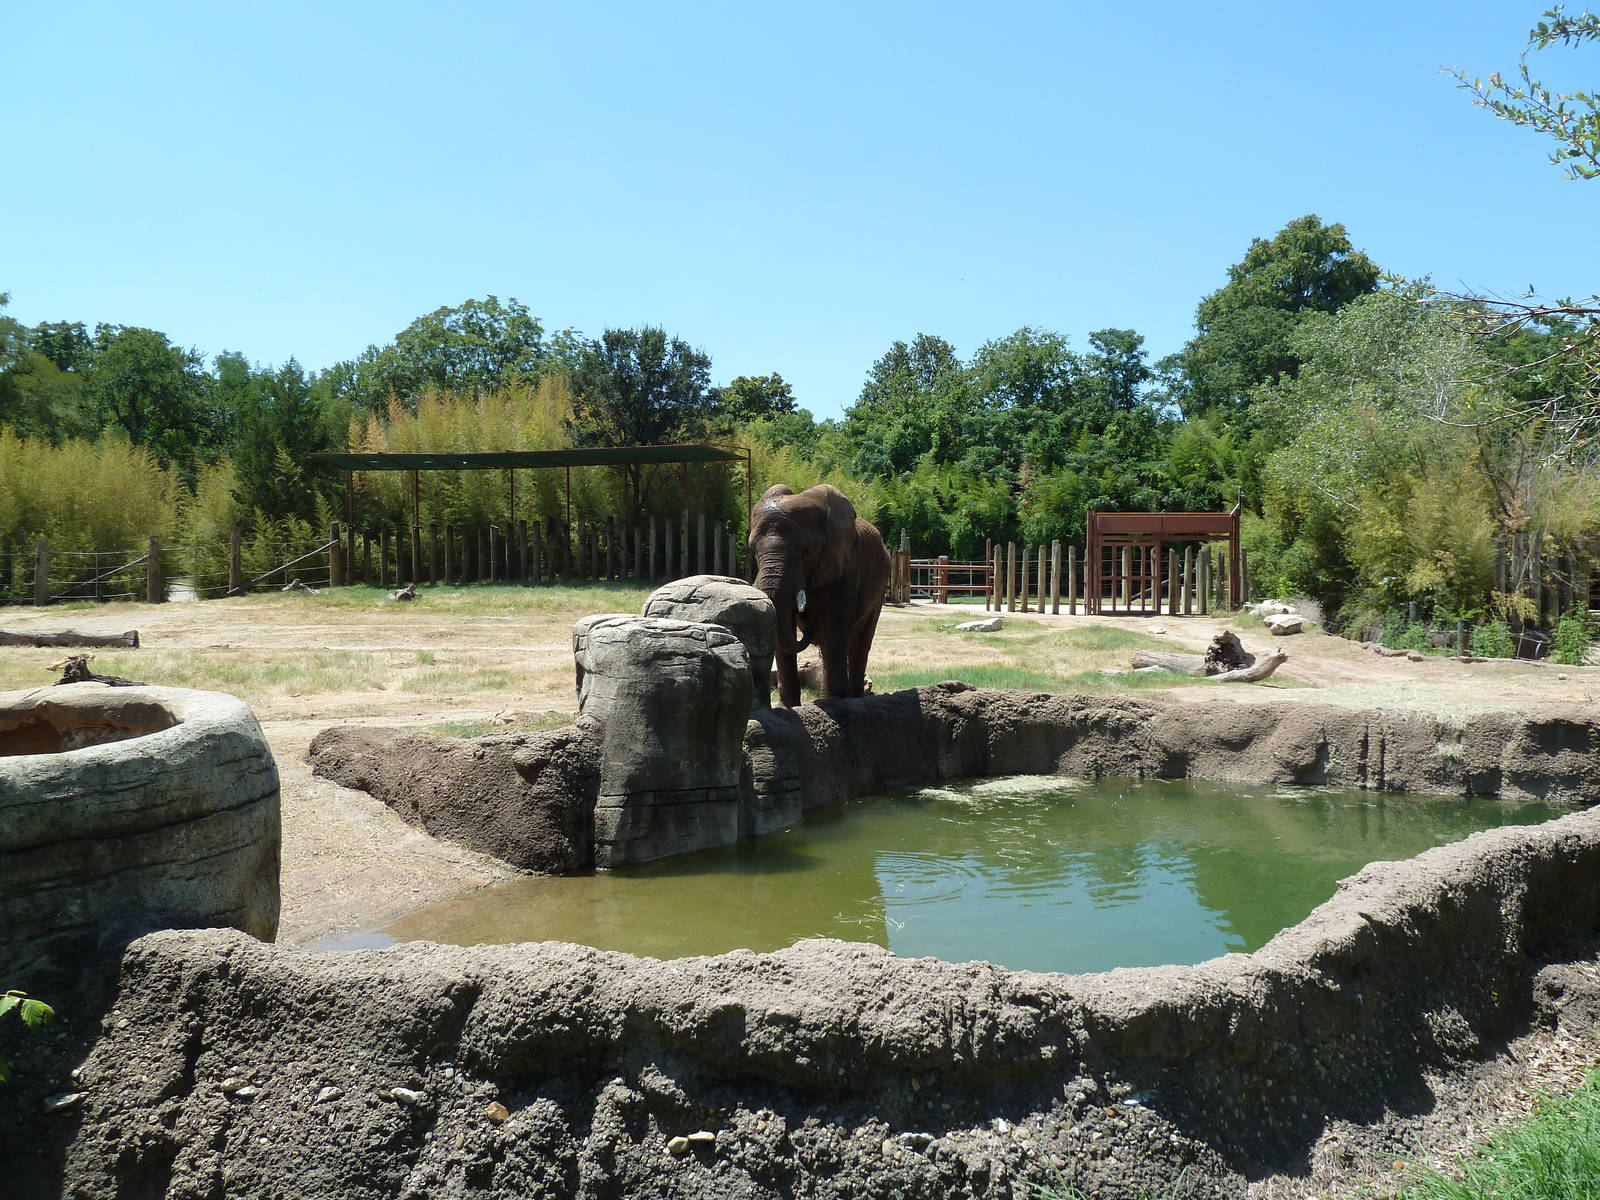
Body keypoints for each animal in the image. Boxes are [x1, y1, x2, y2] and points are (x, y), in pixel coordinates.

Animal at [748, 483, 891, 708]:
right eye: (753, 548)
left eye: (806, 551)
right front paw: (787, 708)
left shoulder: (846, 566)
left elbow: (834, 624)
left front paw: (835, 702)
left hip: (880, 590)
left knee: (858, 643)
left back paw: (855, 698)